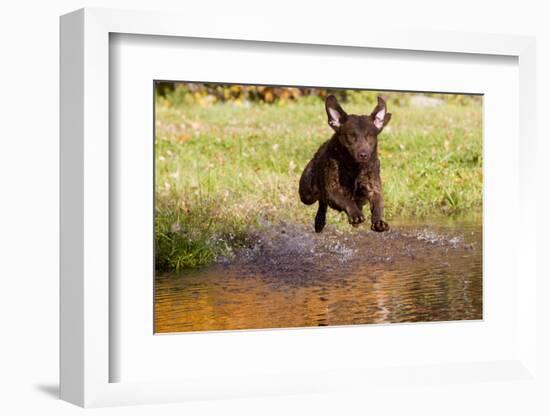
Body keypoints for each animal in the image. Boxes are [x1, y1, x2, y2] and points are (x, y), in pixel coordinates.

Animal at [302, 94, 392, 232]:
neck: (354, 167)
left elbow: (378, 204)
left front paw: (379, 222)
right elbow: (346, 200)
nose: (363, 154)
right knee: (321, 200)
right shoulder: (332, 190)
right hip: (307, 194)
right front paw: (355, 214)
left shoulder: (373, 188)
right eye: (351, 136)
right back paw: (320, 221)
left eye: (370, 135)